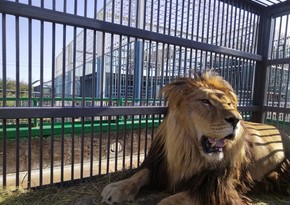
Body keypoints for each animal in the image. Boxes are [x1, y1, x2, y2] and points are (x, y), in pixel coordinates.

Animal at [100, 71, 290, 204]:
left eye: (229, 103)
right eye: (206, 101)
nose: (236, 119)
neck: (188, 149)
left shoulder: (215, 186)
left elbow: (169, 201)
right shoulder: (160, 165)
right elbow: (139, 174)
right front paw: (117, 187)